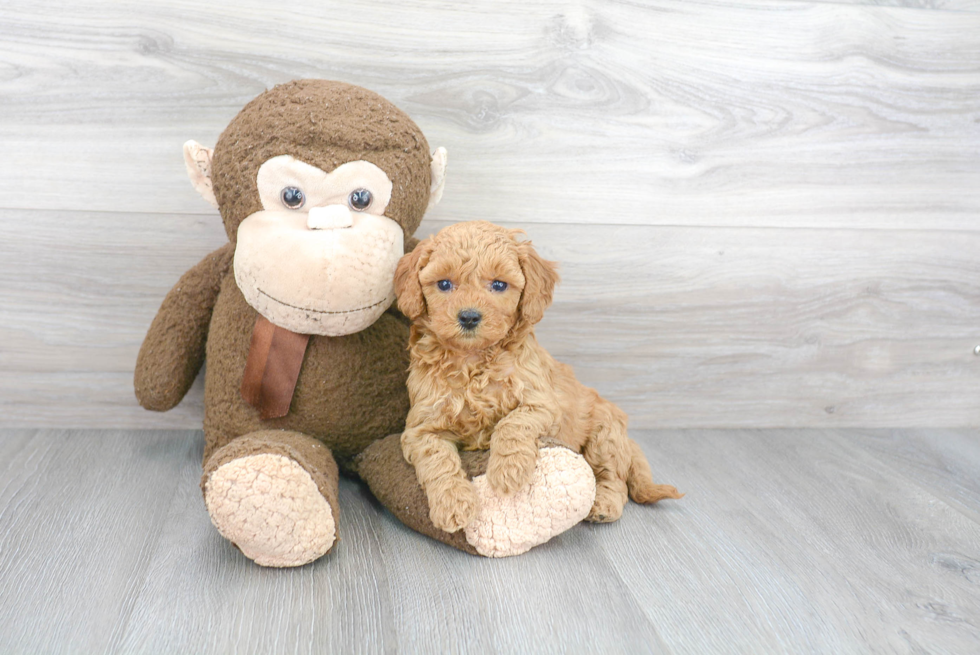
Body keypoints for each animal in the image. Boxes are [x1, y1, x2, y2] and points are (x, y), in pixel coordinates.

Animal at [390, 222, 680, 532]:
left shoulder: (542, 403)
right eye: (444, 284)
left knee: (614, 478)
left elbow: (511, 423)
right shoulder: (421, 427)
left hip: (604, 437)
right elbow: (437, 460)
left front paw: (508, 471)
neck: (473, 360)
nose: (469, 317)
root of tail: (627, 438)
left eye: (499, 285)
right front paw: (453, 503)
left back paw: (604, 505)